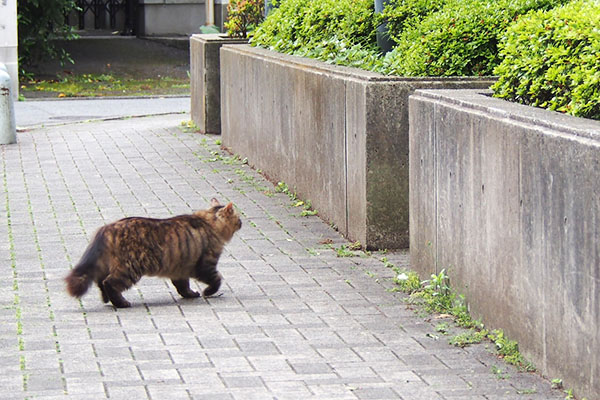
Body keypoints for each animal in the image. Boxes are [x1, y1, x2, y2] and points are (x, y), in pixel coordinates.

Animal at [65, 198, 241, 308]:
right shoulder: (205, 265)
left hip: (109, 266)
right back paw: (121, 303)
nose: (241, 222)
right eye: (238, 217)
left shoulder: (180, 267)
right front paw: (207, 292)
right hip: (130, 269)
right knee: (109, 283)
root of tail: (107, 228)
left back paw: (107, 299)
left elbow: (183, 286)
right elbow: (216, 279)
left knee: (100, 282)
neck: (208, 222)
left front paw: (190, 294)